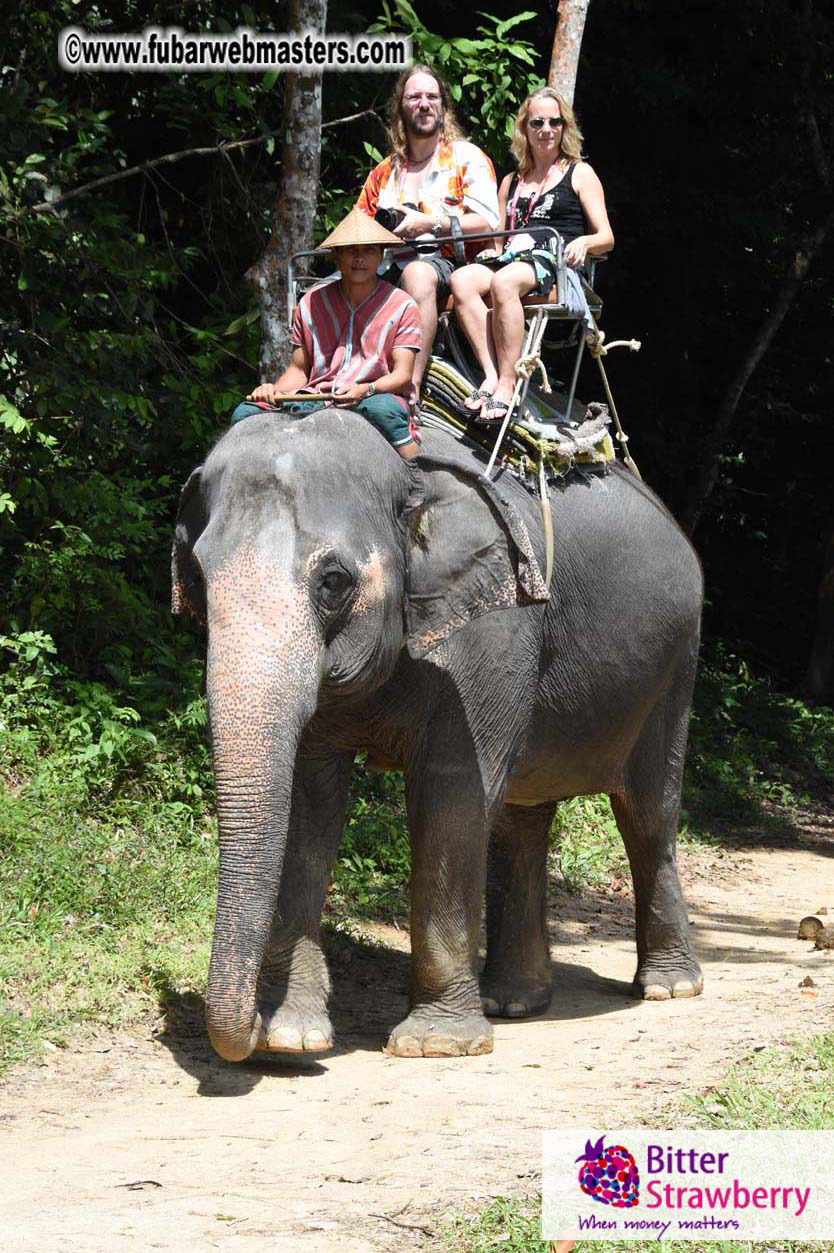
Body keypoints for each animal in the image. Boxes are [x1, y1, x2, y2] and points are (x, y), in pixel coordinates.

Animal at [172, 407, 703, 1063]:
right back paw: (513, 1003)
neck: (409, 474)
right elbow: (309, 802)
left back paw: (668, 987)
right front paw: (291, 1039)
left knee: (648, 812)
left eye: (333, 582)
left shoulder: (492, 629)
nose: (245, 1030)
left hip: (676, 665)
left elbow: (452, 797)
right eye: (198, 578)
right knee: (523, 817)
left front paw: (435, 1045)